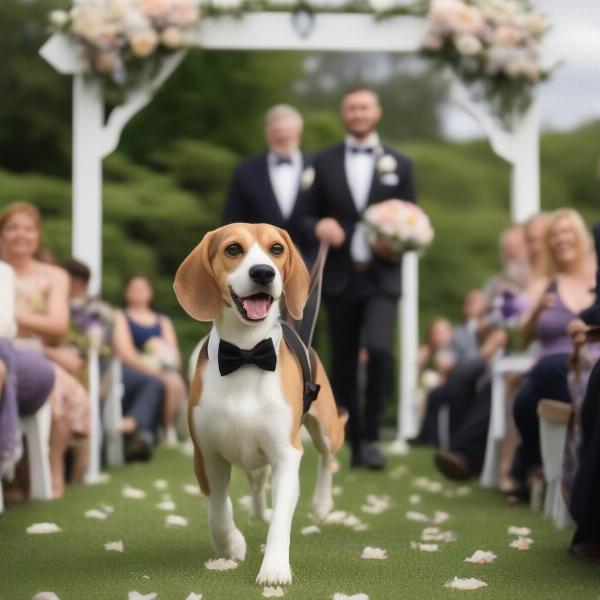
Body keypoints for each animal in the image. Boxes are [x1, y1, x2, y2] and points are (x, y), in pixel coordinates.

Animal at [173, 223, 346, 584]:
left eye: (276, 249)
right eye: (233, 249)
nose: (264, 272)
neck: (246, 354)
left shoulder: (286, 455)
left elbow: (282, 519)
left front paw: (275, 569)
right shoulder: (206, 454)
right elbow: (217, 510)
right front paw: (231, 546)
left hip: (325, 428)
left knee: (327, 458)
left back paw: (322, 504)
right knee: (255, 485)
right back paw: (257, 512)